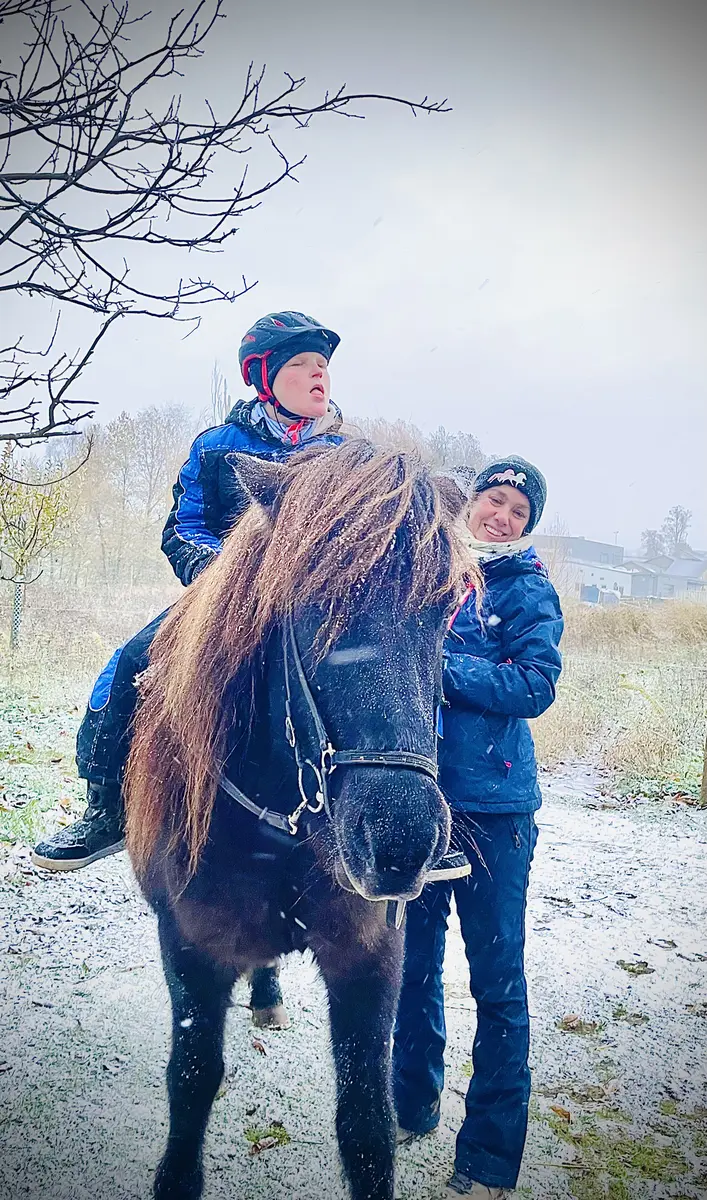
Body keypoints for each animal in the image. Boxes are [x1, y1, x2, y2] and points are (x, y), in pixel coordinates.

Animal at [124, 441, 476, 1200]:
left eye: (445, 611)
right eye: (309, 605)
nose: (400, 845)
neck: (283, 834)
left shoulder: (371, 954)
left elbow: (366, 1120)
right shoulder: (191, 948)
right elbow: (192, 1079)